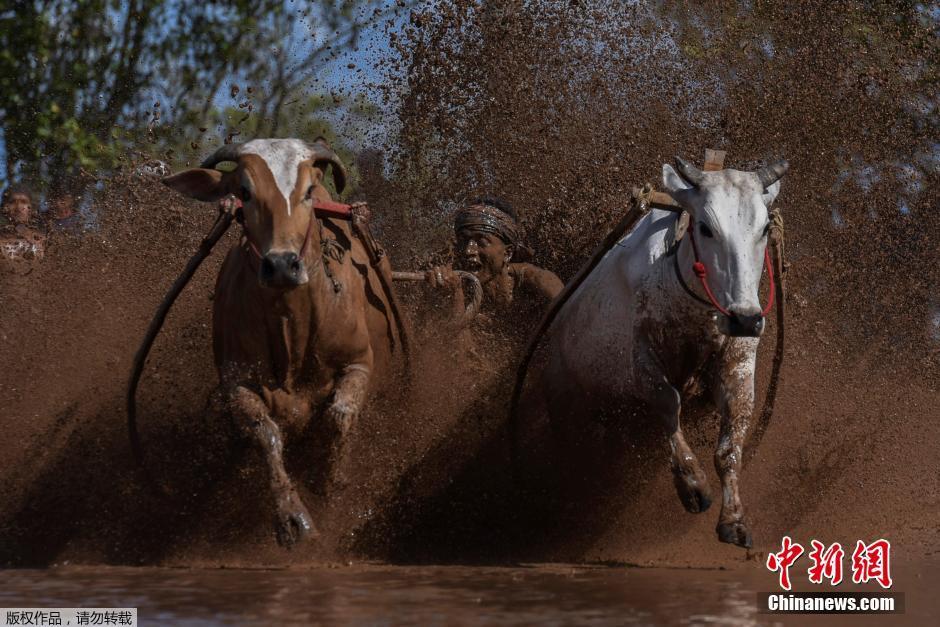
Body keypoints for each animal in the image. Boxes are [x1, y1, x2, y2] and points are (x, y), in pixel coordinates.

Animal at [161, 137, 408, 544]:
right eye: (244, 192)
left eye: (308, 191)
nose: (281, 265)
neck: (293, 330)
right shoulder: (237, 382)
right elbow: (266, 433)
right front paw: (293, 516)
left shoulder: (358, 363)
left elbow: (339, 416)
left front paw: (330, 481)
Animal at [536, 158, 784, 548]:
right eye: (705, 227)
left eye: (765, 227)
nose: (744, 318)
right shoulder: (642, 363)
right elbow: (669, 403)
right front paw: (692, 483)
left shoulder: (739, 365)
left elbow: (730, 447)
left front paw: (734, 520)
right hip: (563, 401)